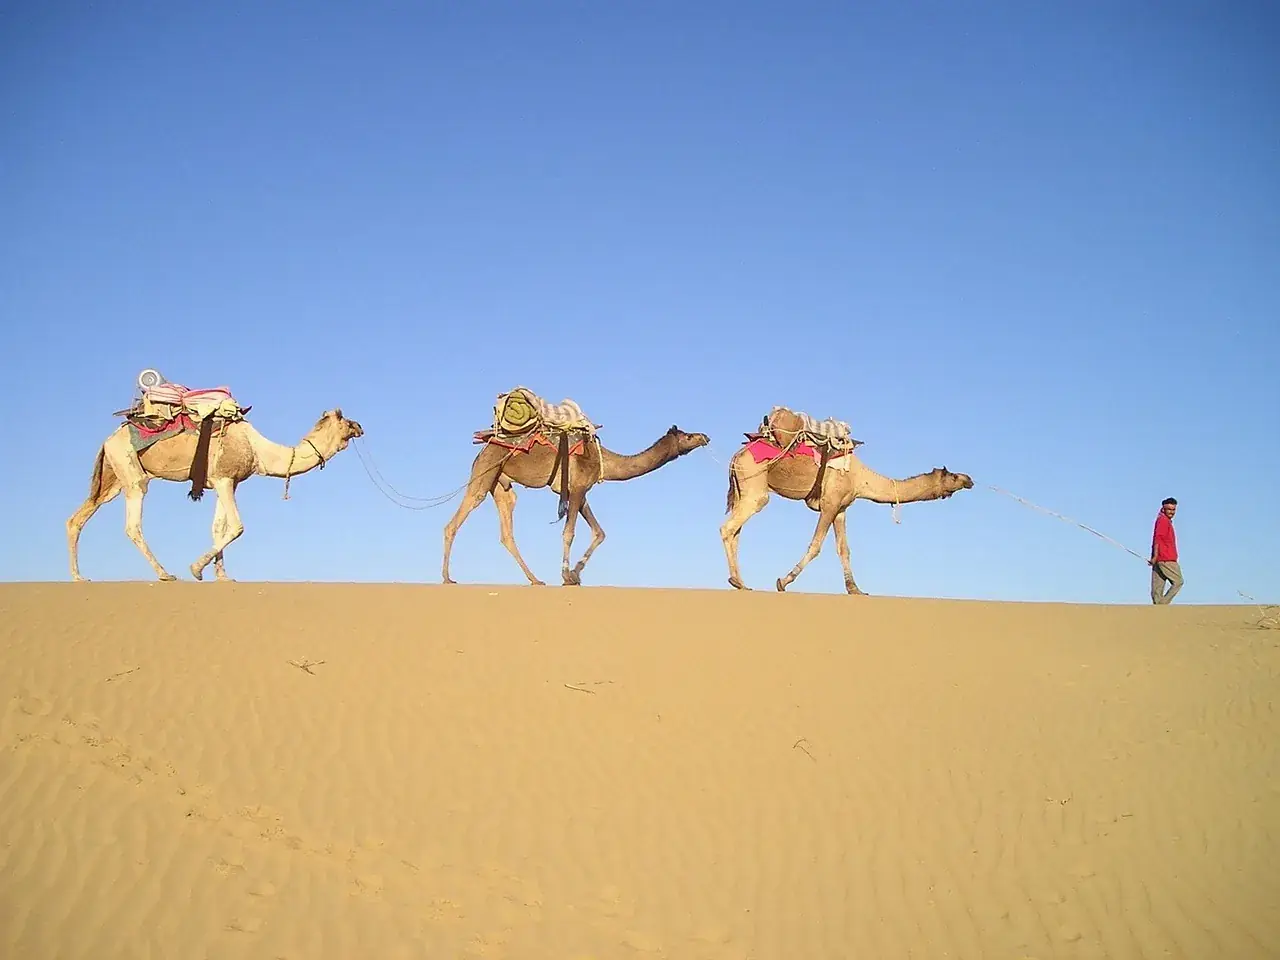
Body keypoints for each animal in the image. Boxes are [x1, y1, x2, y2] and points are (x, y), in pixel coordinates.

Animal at [67, 409, 364, 582]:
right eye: (344, 419)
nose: (360, 426)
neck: (258, 451)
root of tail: (108, 440)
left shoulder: (229, 482)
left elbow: (218, 527)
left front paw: (222, 576)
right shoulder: (223, 478)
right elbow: (237, 526)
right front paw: (196, 569)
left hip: (112, 478)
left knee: (77, 518)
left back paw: (78, 577)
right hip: (130, 471)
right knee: (132, 525)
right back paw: (164, 574)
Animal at [442, 424, 710, 586]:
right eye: (687, 436)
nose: (705, 437)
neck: (603, 461)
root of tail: (483, 449)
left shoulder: (579, 492)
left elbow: (599, 532)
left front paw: (575, 574)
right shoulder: (579, 487)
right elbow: (569, 532)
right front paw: (566, 575)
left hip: (501, 484)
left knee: (507, 530)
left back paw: (535, 580)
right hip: (486, 470)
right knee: (457, 519)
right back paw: (446, 578)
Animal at [720, 430, 973, 594]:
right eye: (953, 476)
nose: (969, 479)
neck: (862, 478)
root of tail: (736, 455)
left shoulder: (841, 508)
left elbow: (844, 549)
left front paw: (855, 589)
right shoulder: (830, 503)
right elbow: (816, 545)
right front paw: (784, 581)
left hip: (742, 489)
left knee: (736, 532)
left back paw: (740, 582)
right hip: (754, 485)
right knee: (729, 527)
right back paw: (738, 582)